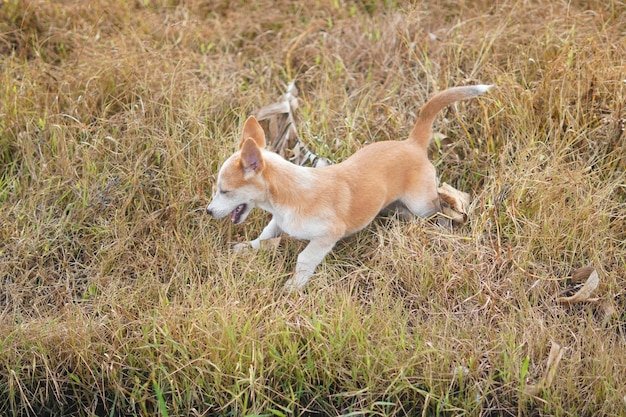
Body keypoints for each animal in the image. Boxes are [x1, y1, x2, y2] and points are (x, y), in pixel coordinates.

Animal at [207, 84, 490, 290]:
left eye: (225, 191)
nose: (208, 211)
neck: (285, 197)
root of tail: (412, 143)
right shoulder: (278, 221)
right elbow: (266, 235)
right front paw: (247, 247)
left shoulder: (327, 236)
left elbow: (304, 258)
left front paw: (294, 286)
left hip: (422, 203)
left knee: (438, 209)